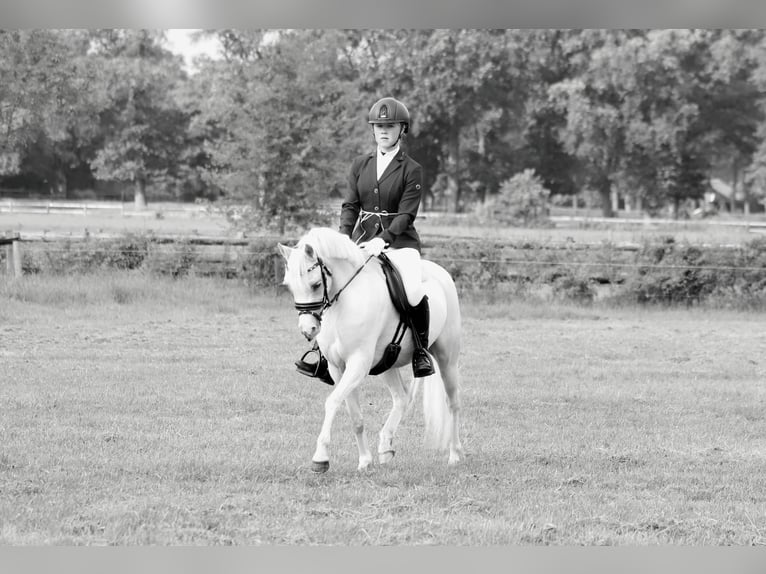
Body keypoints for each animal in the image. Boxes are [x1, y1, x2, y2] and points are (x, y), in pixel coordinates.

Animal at [280, 227, 464, 474]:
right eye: (289, 286)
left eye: (316, 284)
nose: (308, 329)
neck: (344, 301)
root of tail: (441, 273)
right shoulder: (338, 367)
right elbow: (354, 416)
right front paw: (365, 461)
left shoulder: (358, 363)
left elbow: (332, 402)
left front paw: (320, 458)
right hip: (389, 361)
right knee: (401, 398)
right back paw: (385, 447)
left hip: (447, 358)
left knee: (453, 403)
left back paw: (454, 455)